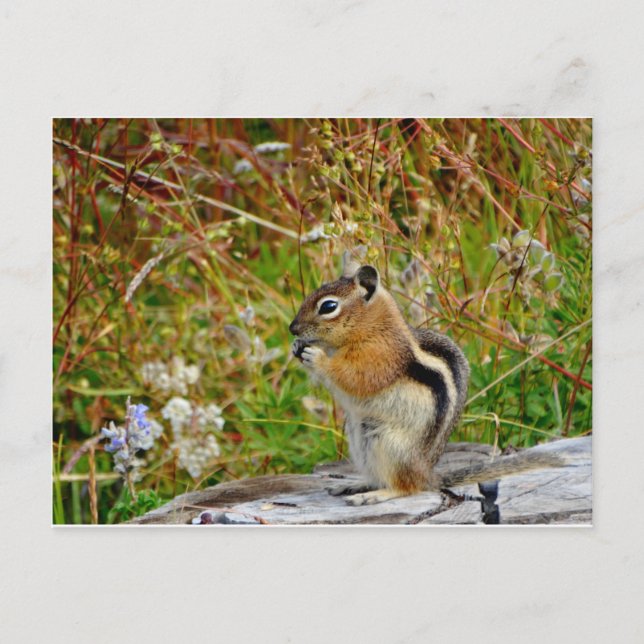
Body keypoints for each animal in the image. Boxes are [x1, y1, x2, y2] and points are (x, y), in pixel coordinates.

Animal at [289, 261, 565, 506]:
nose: (292, 329)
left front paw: (317, 357)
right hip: (360, 440)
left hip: (388, 444)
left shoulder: (380, 356)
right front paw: (297, 347)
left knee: (406, 487)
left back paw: (375, 495)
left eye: (328, 306)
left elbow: (354, 377)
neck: (372, 327)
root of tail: (427, 475)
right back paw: (355, 484)